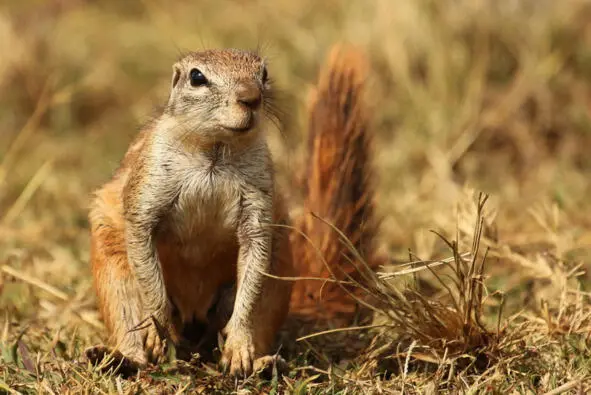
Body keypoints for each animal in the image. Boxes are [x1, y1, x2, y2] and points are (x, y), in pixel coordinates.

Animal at [88, 43, 384, 378]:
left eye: (263, 72)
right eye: (197, 77)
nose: (251, 98)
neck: (215, 152)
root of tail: (193, 317)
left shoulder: (258, 205)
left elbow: (251, 280)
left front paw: (239, 346)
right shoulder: (146, 194)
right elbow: (145, 260)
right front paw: (158, 327)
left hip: (276, 280)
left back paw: (261, 363)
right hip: (114, 273)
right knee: (126, 320)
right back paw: (120, 358)